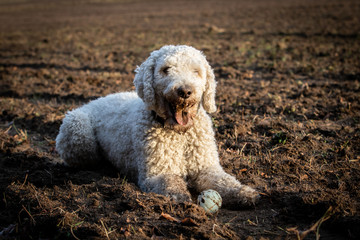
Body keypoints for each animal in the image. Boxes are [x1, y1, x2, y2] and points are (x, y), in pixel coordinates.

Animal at [55, 46, 258, 207]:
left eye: (196, 71)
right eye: (166, 69)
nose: (185, 91)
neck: (180, 134)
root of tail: (91, 102)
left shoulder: (206, 168)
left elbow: (225, 181)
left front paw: (244, 192)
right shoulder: (158, 172)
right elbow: (171, 183)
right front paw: (181, 199)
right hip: (77, 128)